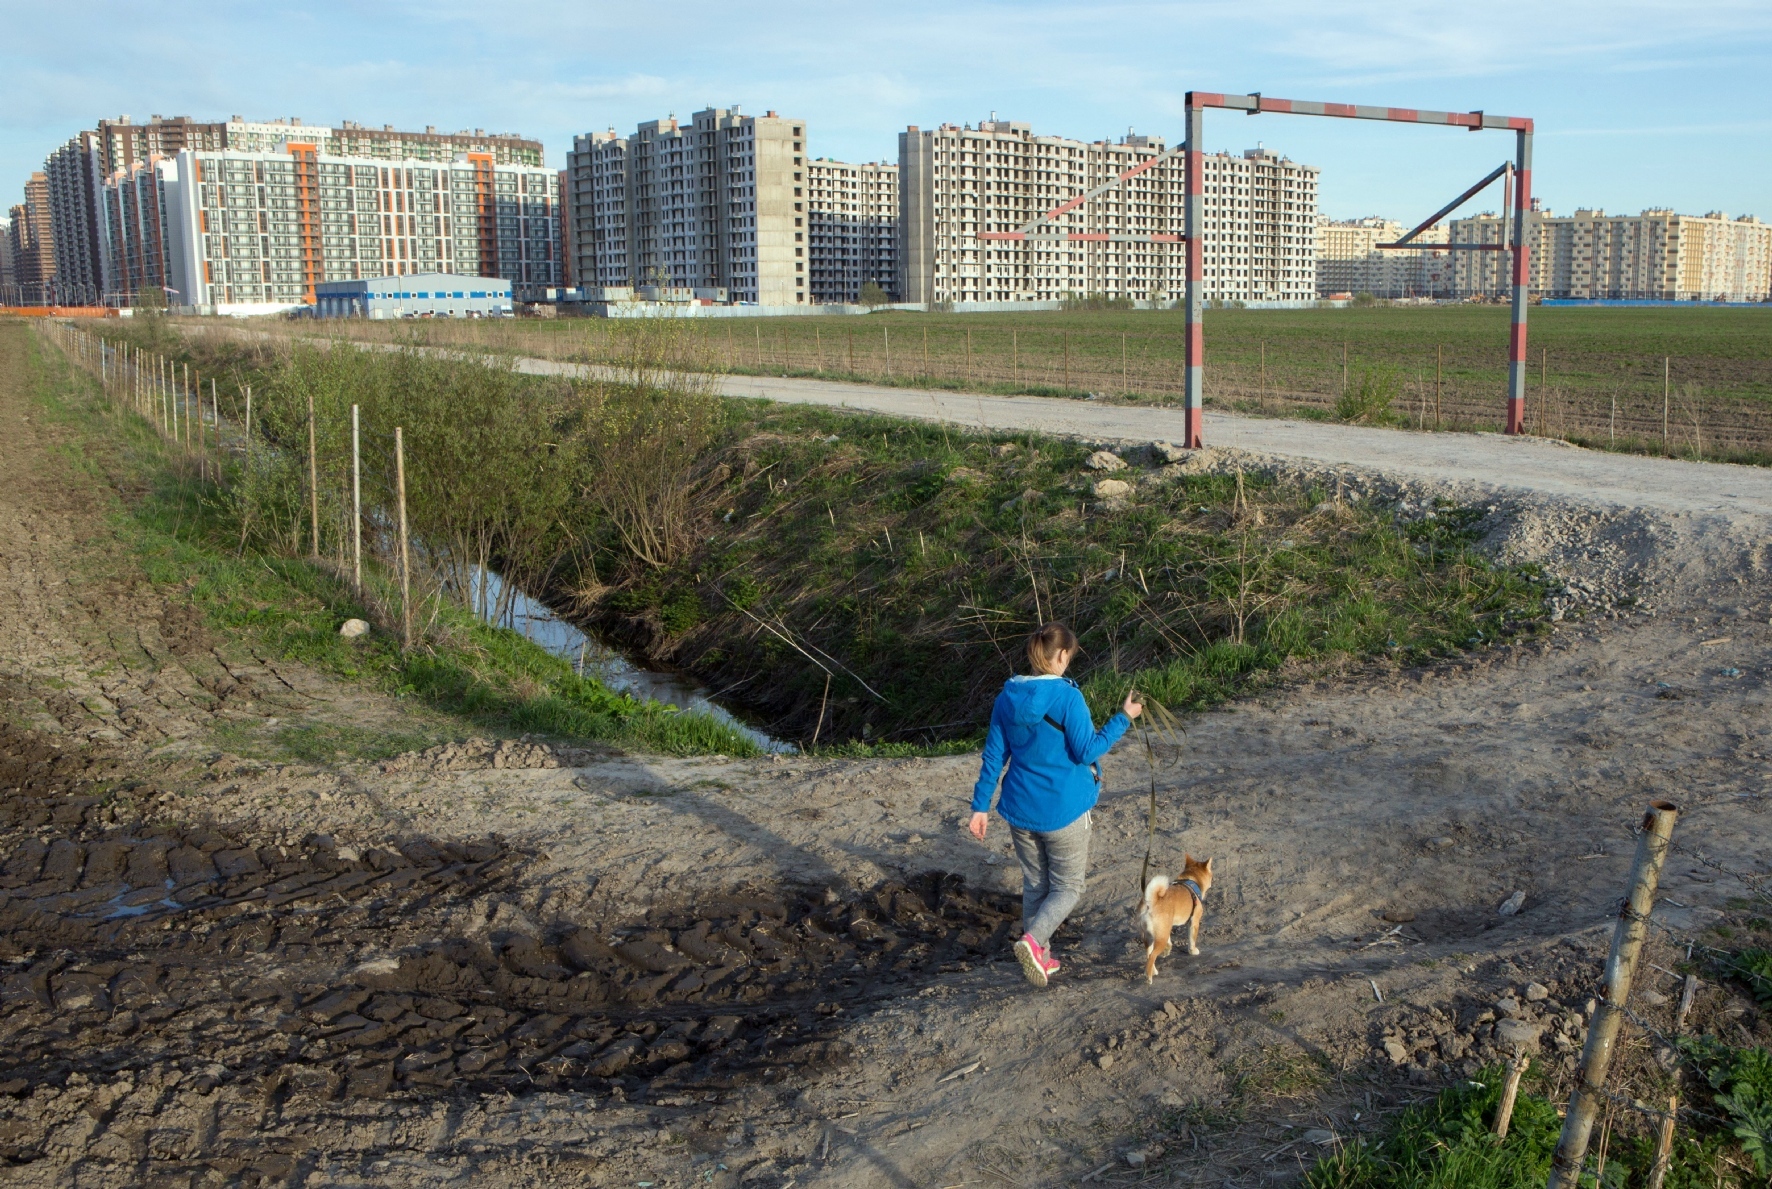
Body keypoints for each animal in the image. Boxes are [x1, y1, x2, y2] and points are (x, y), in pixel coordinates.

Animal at [1141, 857, 1212, 985]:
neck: (1190, 881)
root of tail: (1151, 902)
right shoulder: (1194, 922)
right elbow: (1192, 939)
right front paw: (1193, 951)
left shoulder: (1166, 927)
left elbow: (1169, 942)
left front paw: (1167, 950)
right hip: (1159, 939)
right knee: (1152, 956)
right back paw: (1148, 977)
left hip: (1151, 937)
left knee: (1149, 954)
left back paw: (1153, 971)